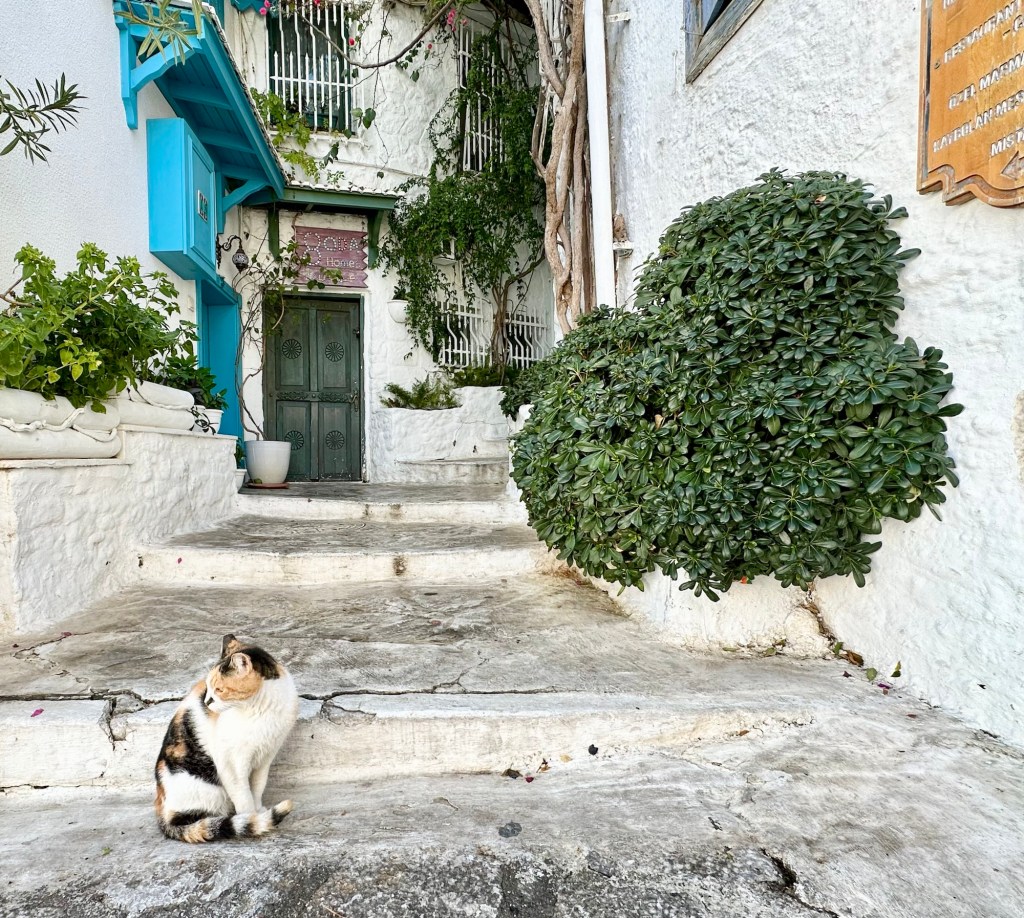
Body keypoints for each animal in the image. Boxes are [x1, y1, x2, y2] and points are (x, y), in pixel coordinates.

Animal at [154, 634, 299, 843]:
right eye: (208, 688)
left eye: (219, 690)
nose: (206, 701)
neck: (262, 710)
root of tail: (161, 811)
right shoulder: (232, 763)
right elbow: (243, 796)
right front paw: (252, 818)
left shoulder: (265, 757)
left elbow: (257, 787)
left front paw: (258, 810)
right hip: (205, 789)